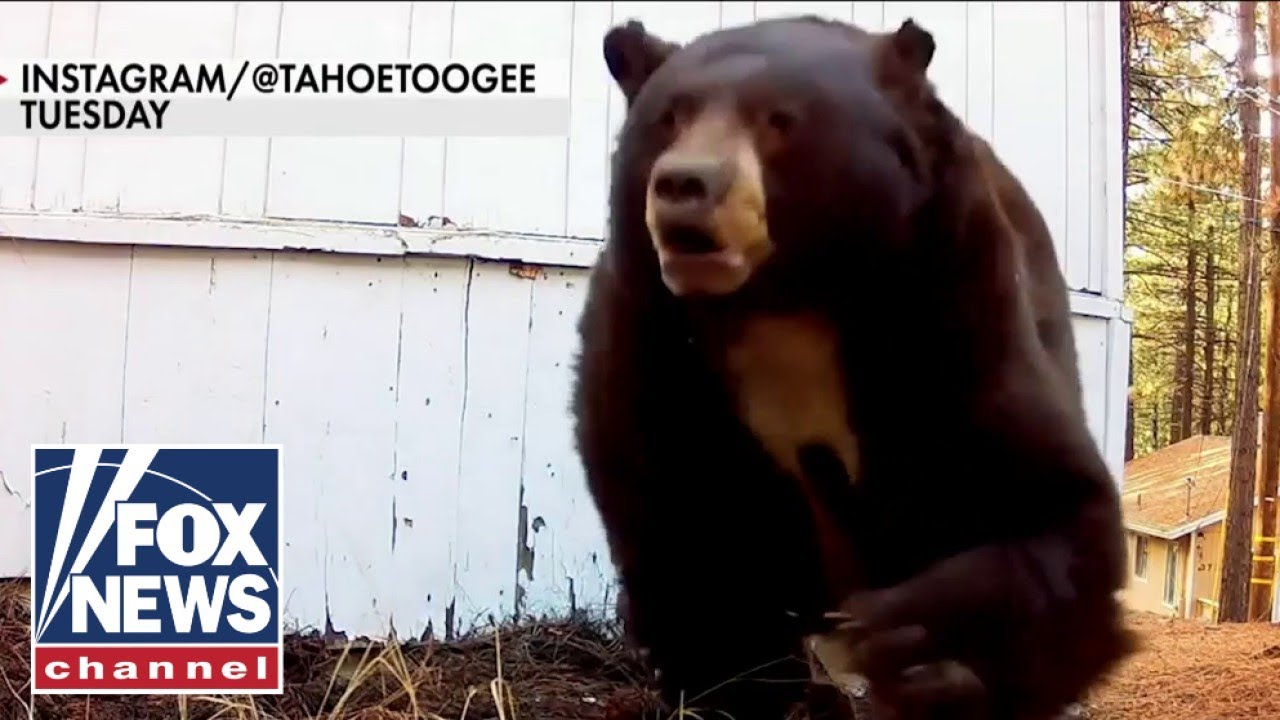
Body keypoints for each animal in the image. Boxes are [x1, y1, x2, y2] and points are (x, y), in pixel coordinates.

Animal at [570, 13, 1136, 720]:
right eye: (669, 118)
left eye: (780, 120)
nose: (684, 185)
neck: (786, 297)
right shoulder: (651, 340)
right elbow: (691, 536)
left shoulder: (955, 308)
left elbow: (1049, 505)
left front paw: (922, 644)